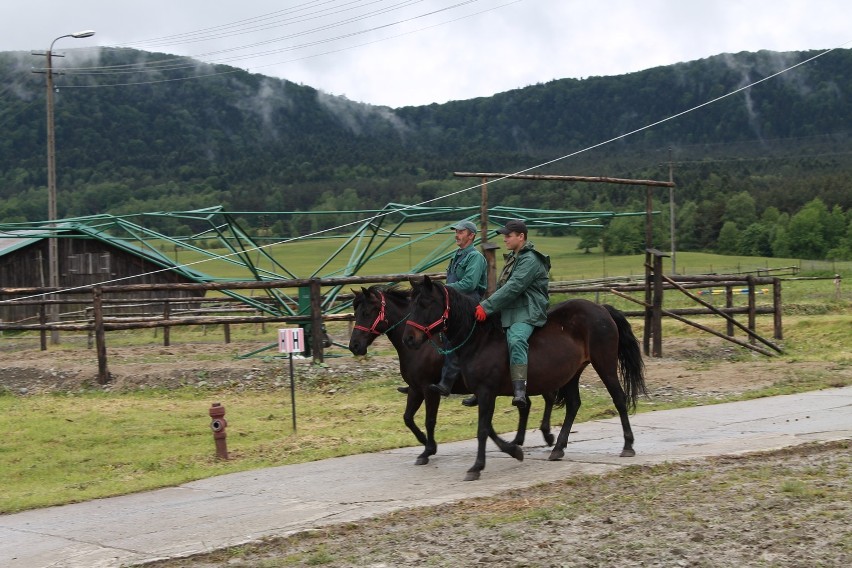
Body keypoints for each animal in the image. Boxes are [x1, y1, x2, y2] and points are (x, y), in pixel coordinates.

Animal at [348, 284, 560, 466]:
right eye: (356, 313)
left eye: (366, 312)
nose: (354, 346)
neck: (422, 346)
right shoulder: (415, 389)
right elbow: (407, 418)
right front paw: (423, 441)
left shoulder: (429, 390)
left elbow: (429, 420)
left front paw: (428, 450)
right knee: (527, 404)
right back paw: (519, 441)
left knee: (547, 397)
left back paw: (547, 435)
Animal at [402, 278, 644, 482]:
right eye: (410, 304)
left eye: (425, 303)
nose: (409, 339)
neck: (479, 339)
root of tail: (602, 309)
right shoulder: (483, 394)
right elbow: (488, 427)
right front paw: (514, 450)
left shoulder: (486, 391)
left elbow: (482, 430)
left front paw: (477, 467)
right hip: (571, 374)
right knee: (574, 404)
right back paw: (558, 447)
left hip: (605, 365)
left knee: (619, 399)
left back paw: (628, 445)